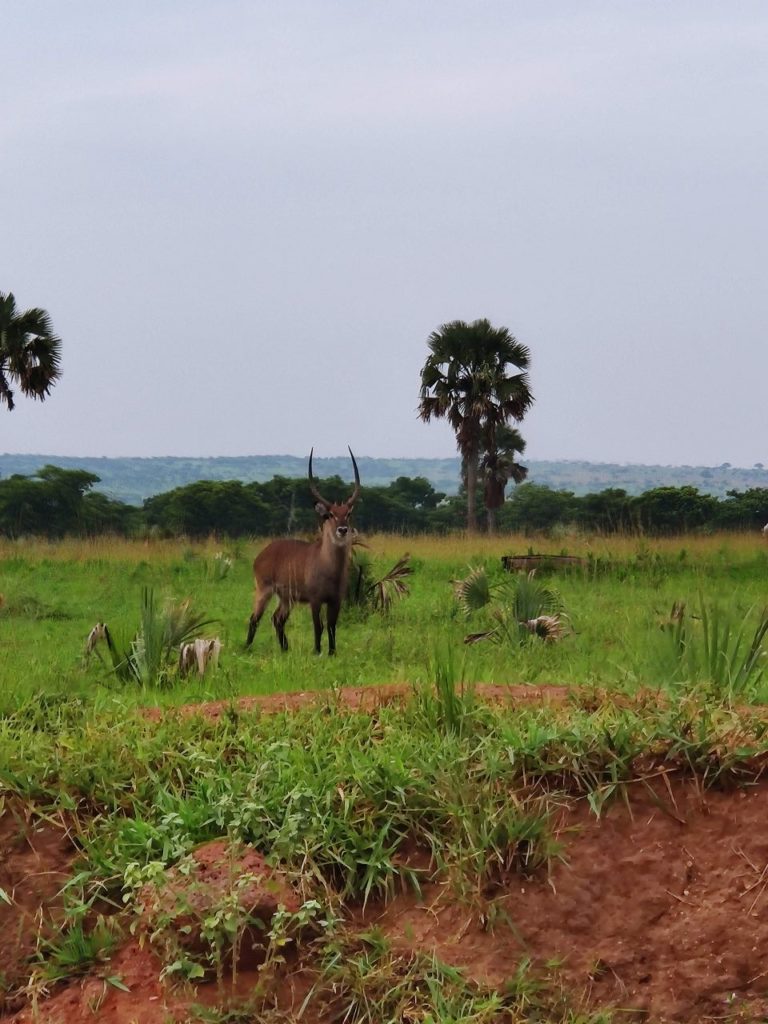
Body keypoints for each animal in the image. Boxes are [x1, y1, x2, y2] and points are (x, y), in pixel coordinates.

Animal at [246, 448, 364, 655]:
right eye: (330, 514)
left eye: (348, 513)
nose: (342, 529)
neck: (329, 567)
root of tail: (263, 552)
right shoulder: (315, 600)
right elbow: (319, 626)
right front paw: (317, 651)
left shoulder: (336, 600)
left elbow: (332, 626)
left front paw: (332, 652)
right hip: (264, 590)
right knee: (254, 618)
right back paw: (247, 648)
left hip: (287, 598)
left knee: (277, 619)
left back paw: (285, 649)